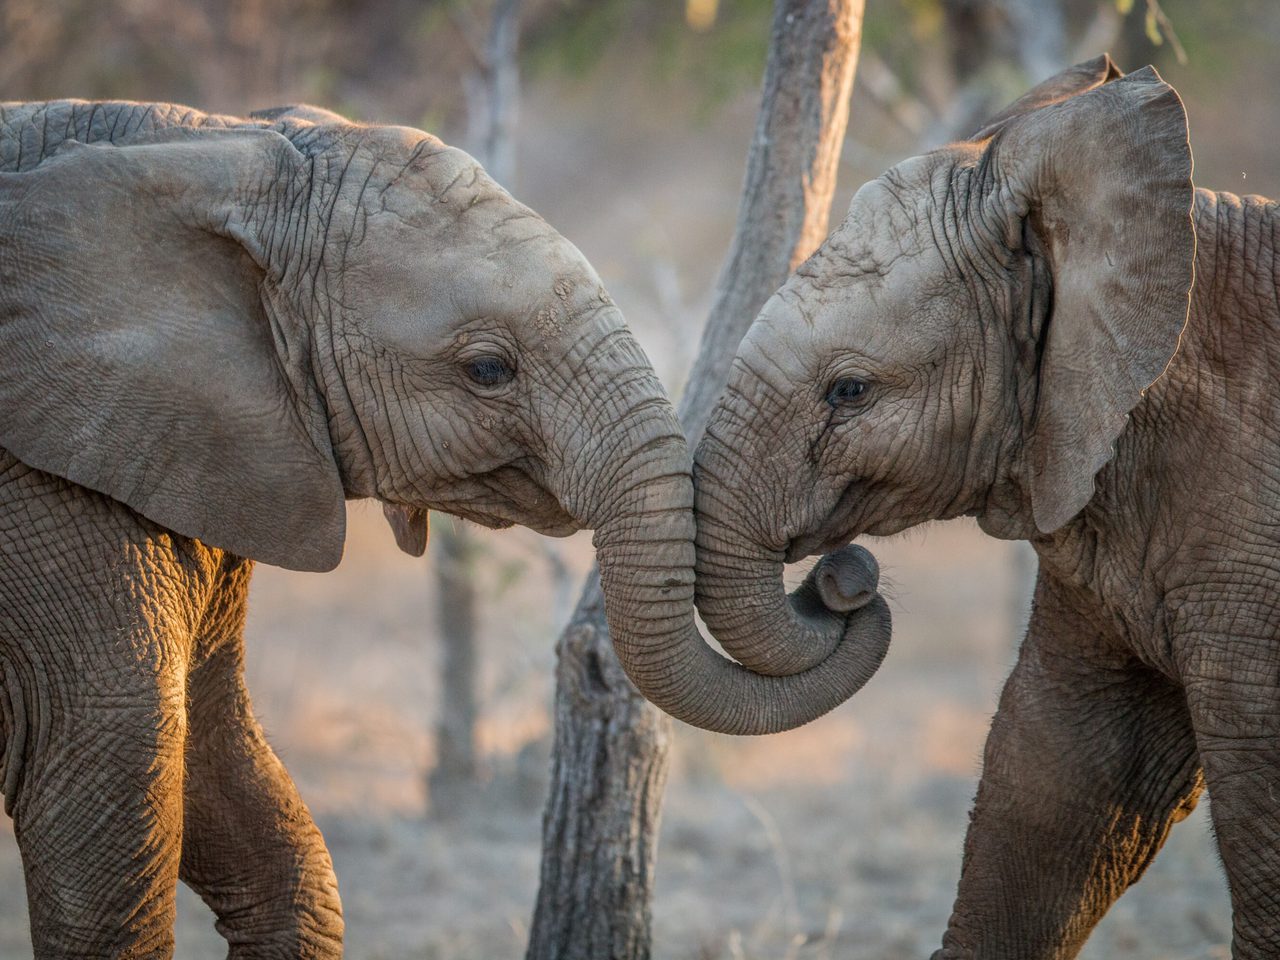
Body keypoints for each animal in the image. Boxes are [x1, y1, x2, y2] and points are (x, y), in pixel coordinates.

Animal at [0, 99, 891, 957]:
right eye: (487, 370)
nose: (843, 576)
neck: (211, 145)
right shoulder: (46, 497)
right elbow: (119, 758)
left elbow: (223, 759)